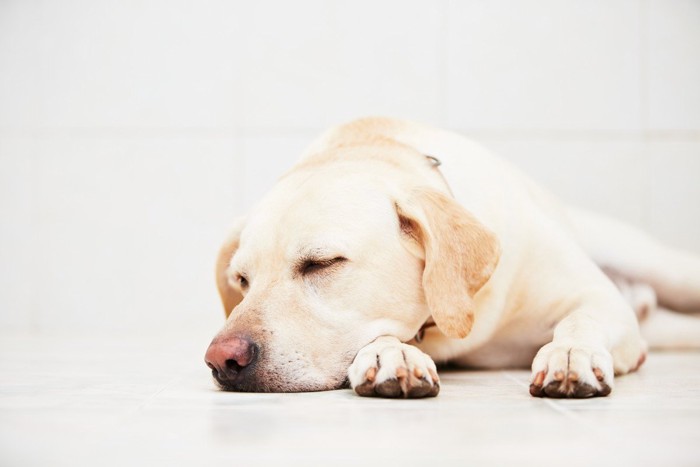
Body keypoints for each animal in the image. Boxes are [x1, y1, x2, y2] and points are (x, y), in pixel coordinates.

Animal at [205, 117, 700, 398]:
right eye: (242, 280)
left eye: (322, 263)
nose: (220, 360)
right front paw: (391, 355)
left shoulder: (597, 297)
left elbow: (581, 320)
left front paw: (569, 354)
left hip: (663, 269)